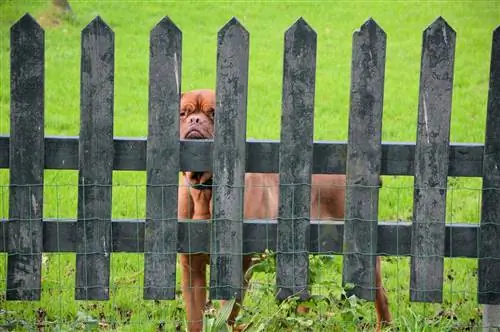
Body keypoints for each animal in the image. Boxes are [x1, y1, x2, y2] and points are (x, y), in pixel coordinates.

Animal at [177, 89, 390, 332]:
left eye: (213, 113)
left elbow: (228, 312)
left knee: (379, 294)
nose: (195, 120)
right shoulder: (191, 267)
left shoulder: (238, 268)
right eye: (183, 113)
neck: (206, 191)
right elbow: (195, 314)